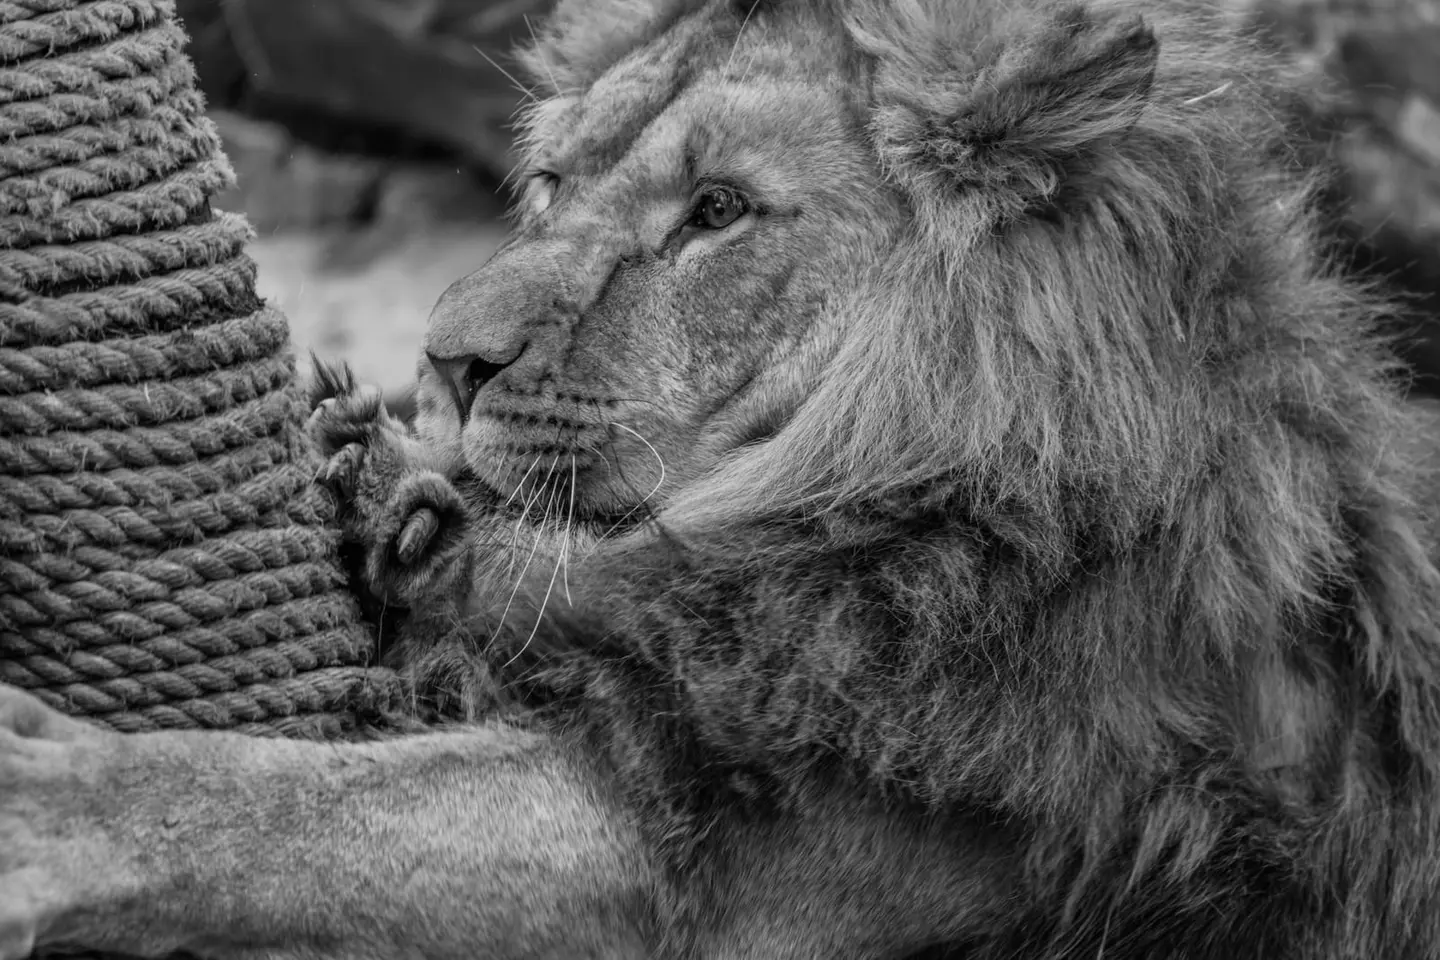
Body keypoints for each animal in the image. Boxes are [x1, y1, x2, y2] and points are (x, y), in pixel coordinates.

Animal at [4, 0, 1440, 957]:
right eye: (549, 182)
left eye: (718, 212)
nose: (446, 360)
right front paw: (392, 492)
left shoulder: (771, 866)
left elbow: (330, 815)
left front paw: (57, 810)